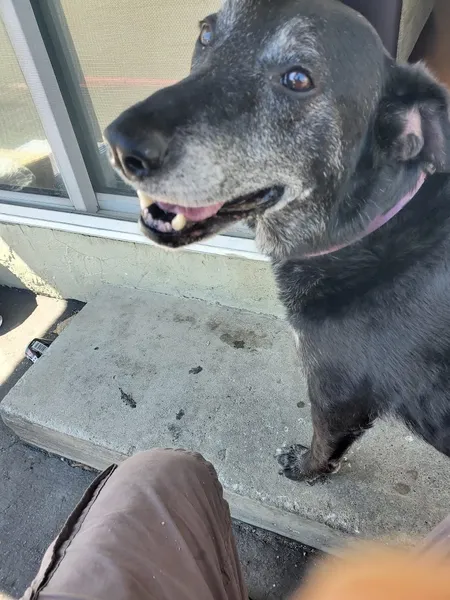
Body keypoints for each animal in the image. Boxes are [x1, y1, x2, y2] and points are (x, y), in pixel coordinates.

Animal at [105, 0, 450, 480]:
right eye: (206, 34)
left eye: (298, 79)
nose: (119, 145)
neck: (376, 231)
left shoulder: (336, 395)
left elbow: (324, 446)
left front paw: (304, 470)